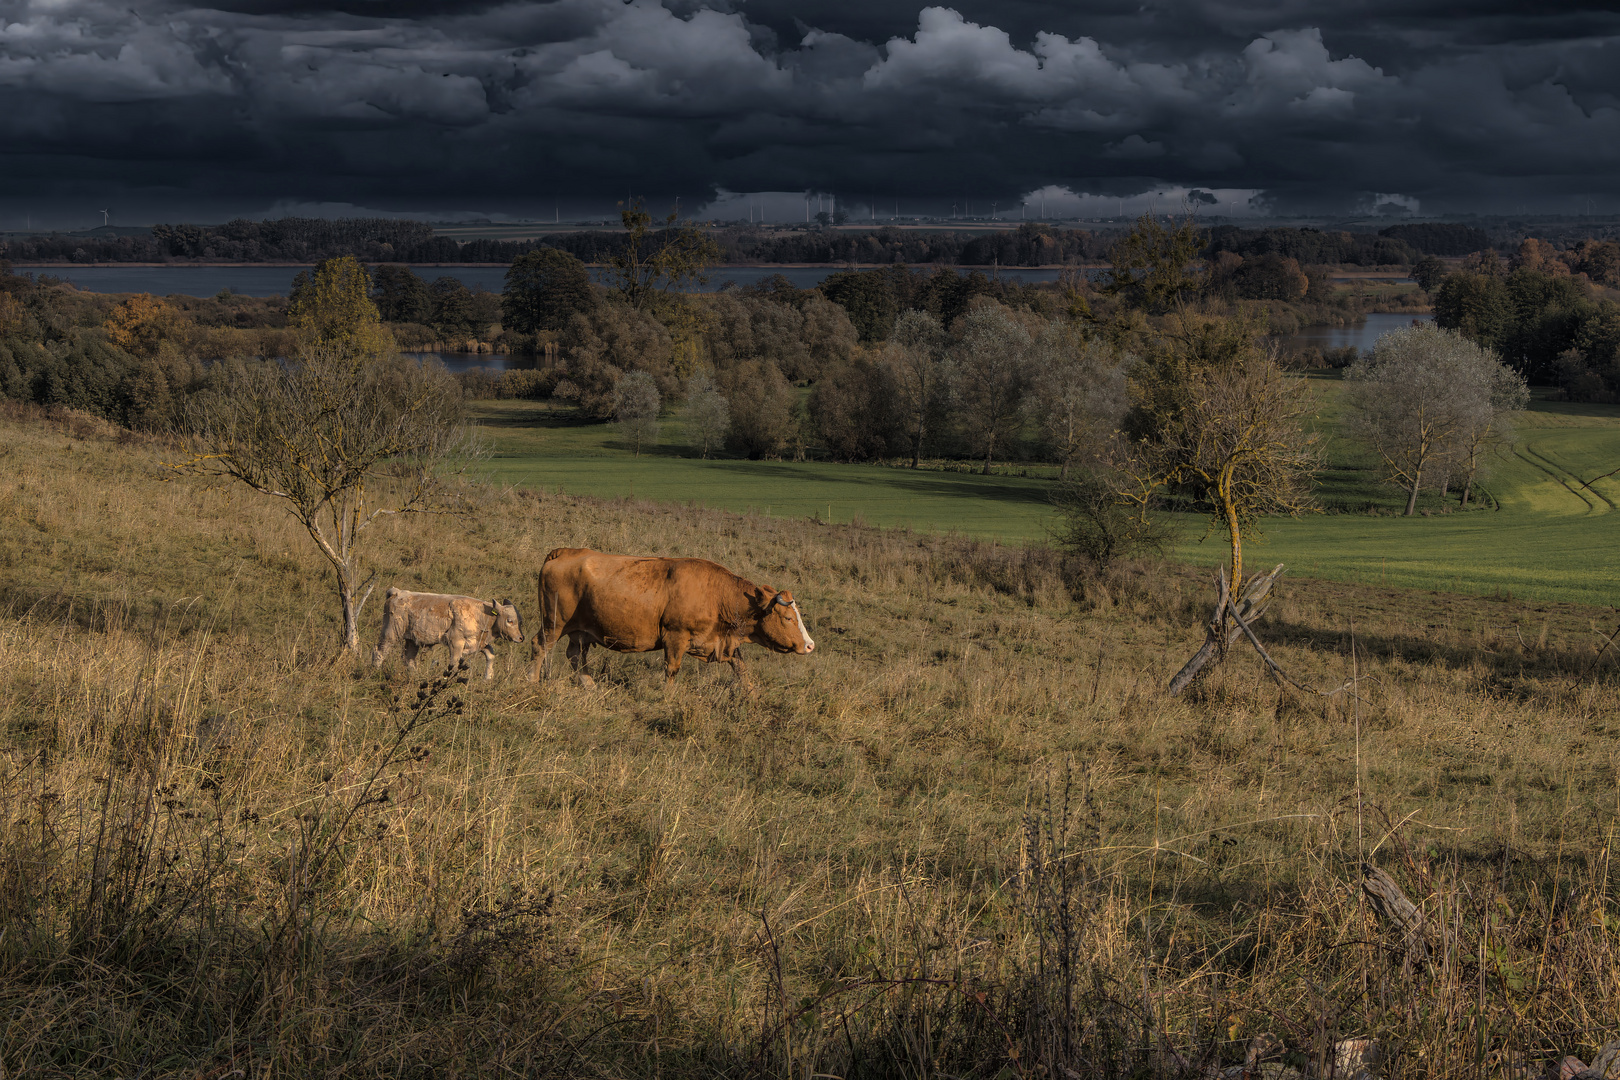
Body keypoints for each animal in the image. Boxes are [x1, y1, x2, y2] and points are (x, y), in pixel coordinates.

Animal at [370, 586, 521, 680]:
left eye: (519, 620)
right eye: (509, 620)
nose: (521, 638)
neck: (481, 614)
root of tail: (397, 592)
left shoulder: (479, 642)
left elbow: (490, 656)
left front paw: (488, 678)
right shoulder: (456, 642)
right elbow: (454, 663)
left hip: (412, 640)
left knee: (409, 659)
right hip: (391, 633)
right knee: (380, 651)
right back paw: (375, 672)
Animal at [528, 544, 816, 689]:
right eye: (788, 618)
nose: (810, 645)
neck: (715, 594)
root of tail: (566, 552)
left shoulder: (724, 643)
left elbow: (741, 668)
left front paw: (751, 696)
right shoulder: (675, 637)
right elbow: (671, 669)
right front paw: (668, 696)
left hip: (580, 631)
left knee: (576, 655)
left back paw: (589, 686)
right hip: (554, 623)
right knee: (539, 646)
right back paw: (532, 680)